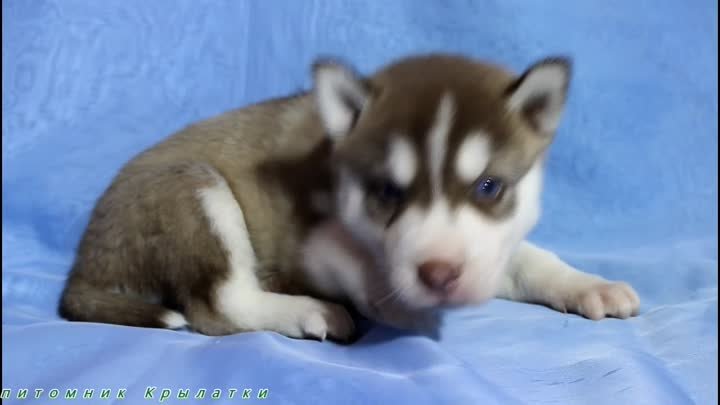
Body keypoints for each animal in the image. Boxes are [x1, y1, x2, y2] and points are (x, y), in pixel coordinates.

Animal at [57, 52, 640, 338]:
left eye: (489, 187)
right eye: (387, 191)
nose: (439, 275)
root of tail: (83, 262)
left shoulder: (488, 246)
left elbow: (532, 259)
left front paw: (591, 285)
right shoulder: (308, 238)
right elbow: (359, 267)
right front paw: (397, 304)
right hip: (195, 191)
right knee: (219, 305)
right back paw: (311, 312)